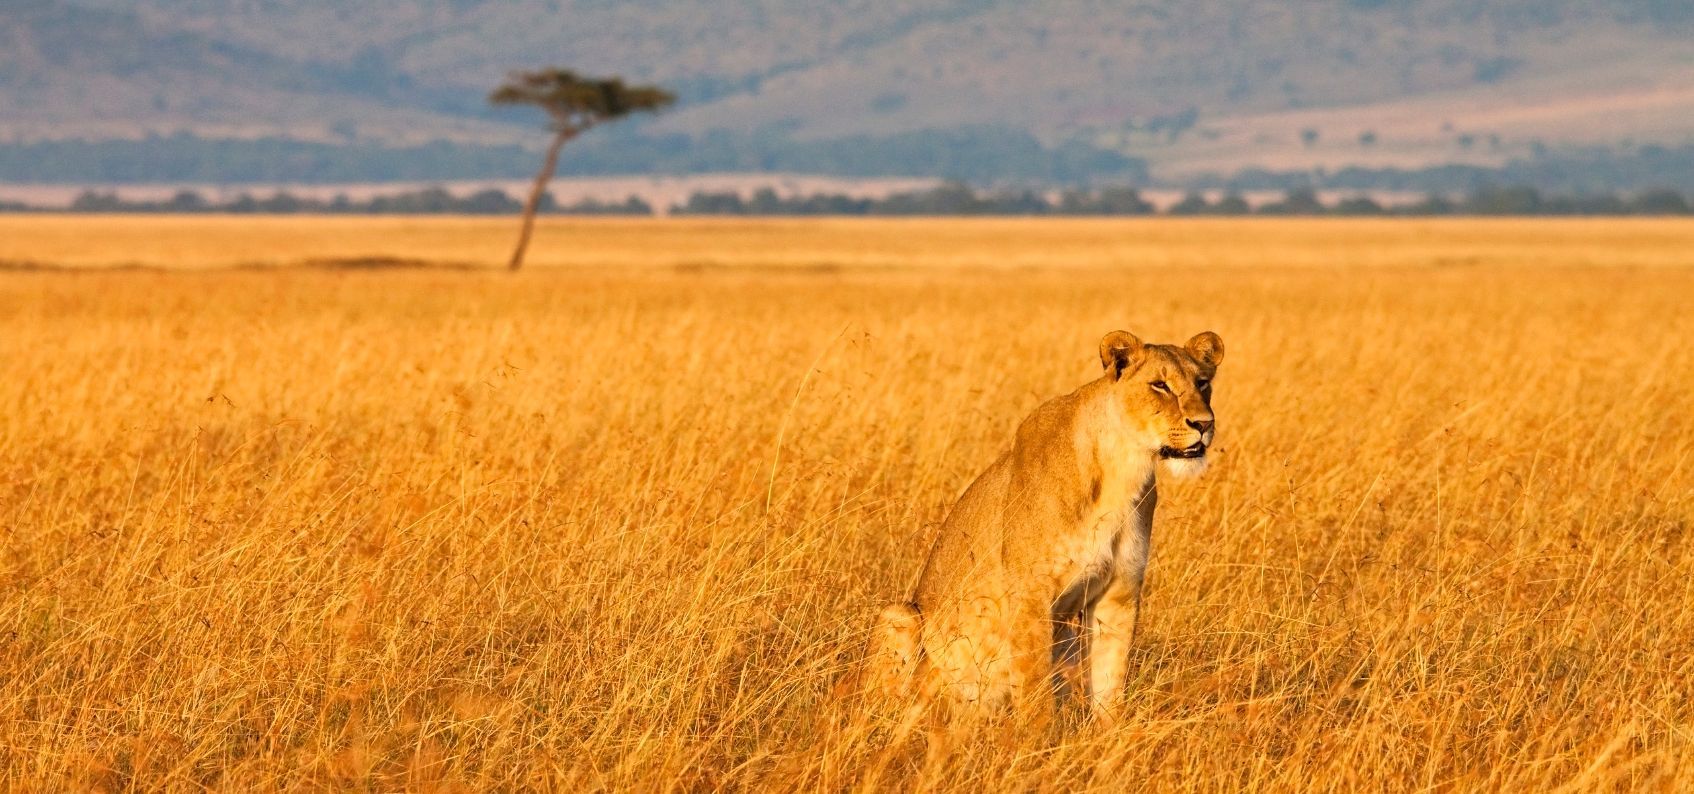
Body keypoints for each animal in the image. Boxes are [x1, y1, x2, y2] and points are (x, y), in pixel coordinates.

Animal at [867, 329, 1223, 716]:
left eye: (1203, 383)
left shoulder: (1120, 592)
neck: (1124, 467)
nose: (1204, 424)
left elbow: (1110, 687)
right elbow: (1036, 694)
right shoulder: (1030, 593)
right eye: (1160, 385)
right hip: (899, 617)